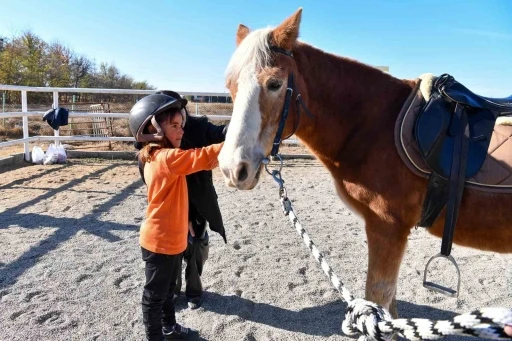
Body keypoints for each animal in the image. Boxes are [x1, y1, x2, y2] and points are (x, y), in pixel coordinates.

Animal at [217, 7, 512, 316]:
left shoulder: (387, 228)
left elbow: (378, 297)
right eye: (230, 85)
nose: (232, 168)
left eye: (274, 84)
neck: (375, 125)